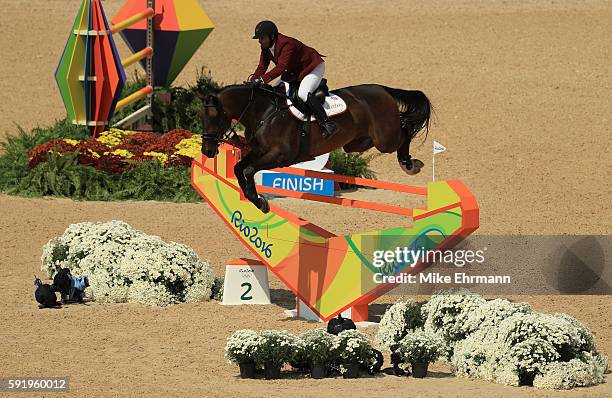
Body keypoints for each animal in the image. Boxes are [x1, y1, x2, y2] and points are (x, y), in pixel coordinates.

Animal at [200, 83, 430, 215]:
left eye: (215, 117)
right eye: (202, 118)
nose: (207, 151)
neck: (264, 113)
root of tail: (382, 89)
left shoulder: (279, 155)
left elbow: (247, 170)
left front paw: (260, 201)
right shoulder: (258, 153)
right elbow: (239, 168)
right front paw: (256, 200)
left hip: (385, 139)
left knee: (405, 129)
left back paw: (410, 164)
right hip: (357, 142)